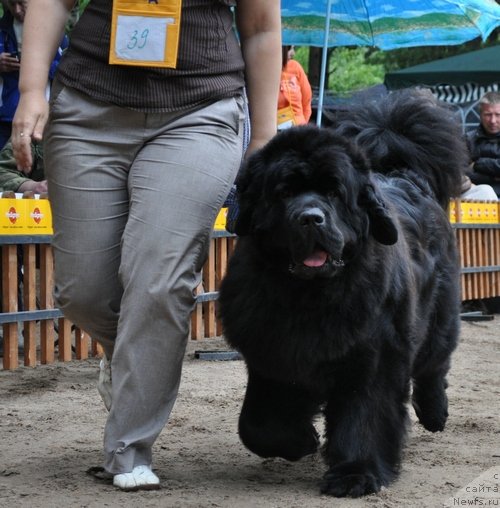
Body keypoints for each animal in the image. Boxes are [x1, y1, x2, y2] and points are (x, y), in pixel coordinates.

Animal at [218, 89, 468, 498]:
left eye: (335, 192)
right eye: (284, 192)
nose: (311, 218)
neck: (310, 297)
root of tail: (402, 174)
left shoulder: (373, 356)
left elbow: (364, 416)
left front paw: (355, 474)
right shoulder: (272, 353)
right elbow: (257, 424)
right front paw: (301, 441)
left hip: (438, 315)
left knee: (435, 363)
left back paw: (435, 413)